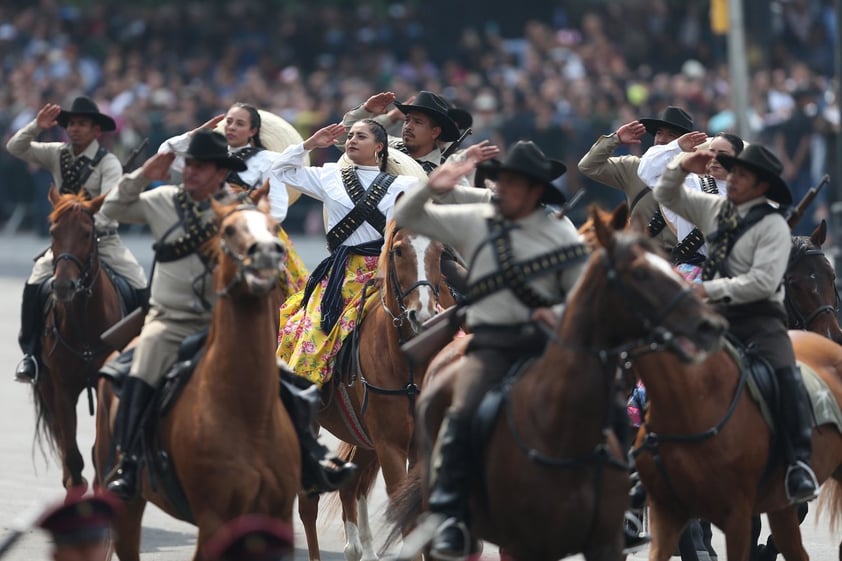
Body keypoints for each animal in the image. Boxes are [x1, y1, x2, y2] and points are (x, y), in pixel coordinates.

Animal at [33, 188, 123, 490]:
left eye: (86, 233)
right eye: (53, 231)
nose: (63, 286)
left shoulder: (102, 382)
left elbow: (98, 452)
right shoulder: (61, 388)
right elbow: (72, 454)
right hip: (46, 385)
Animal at [90, 197, 296, 560]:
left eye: (273, 226)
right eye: (228, 229)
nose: (267, 253)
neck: (250, 413)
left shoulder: (276, 518)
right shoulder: (214, 521)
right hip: (125, 499)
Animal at [296, 221, 452, 560]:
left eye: (440, 250)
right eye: (399, 250)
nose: (423, 313)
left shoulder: (414, 443)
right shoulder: (389, 445)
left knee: (351, 485)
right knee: (308, 503)